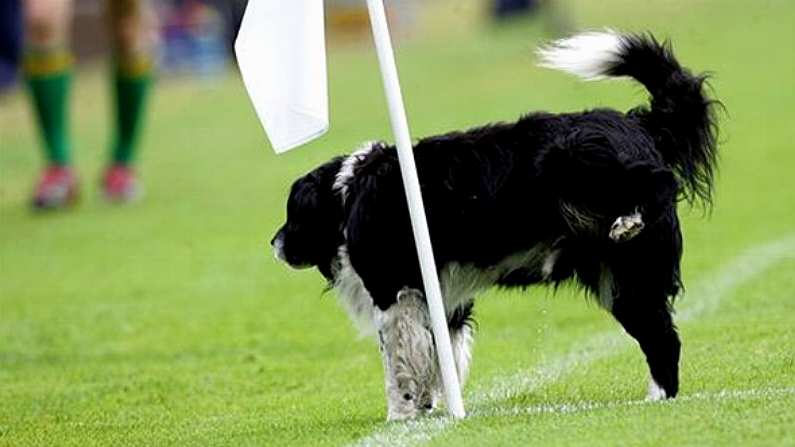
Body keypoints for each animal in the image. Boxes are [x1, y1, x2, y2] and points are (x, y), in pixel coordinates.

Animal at [270, 32, 720, 420]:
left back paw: (629, 219)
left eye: (293, 215)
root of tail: (639, 125)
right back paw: (657, 397)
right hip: (623, 280)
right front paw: (431, 407)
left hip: (579, 161)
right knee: (662, 337)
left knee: (656, 184)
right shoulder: (442, 302)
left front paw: (400, 416)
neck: (346, 196)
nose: (274, 244)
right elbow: (438, 359)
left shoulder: (393, 296)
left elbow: (398, 366)